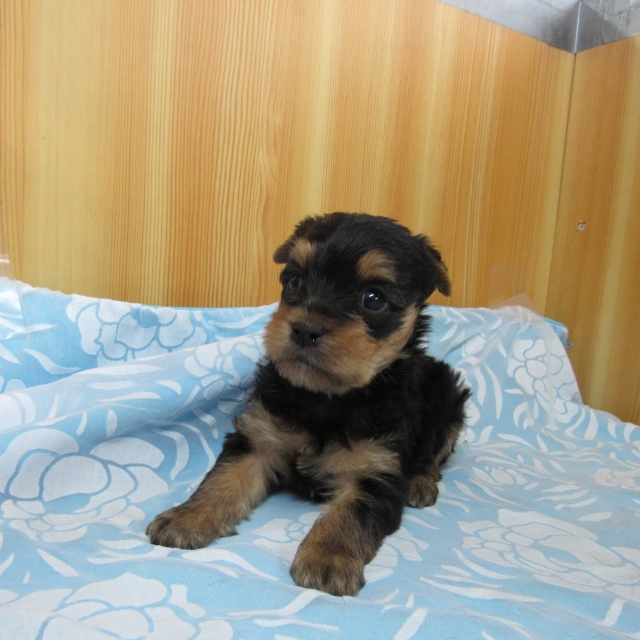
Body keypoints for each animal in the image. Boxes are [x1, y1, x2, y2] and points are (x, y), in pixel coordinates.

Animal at [147, 212, 470, 596]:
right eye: (294, 281)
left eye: (373, 298)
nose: (304, 329)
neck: (325, 397)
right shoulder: (258, 439)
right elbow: (223, 479)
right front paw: (188, 517)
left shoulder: (377, 470)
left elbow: (348, 514)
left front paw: (326, 558)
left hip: (450, 396)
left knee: (437, 451)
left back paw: (421, 483)